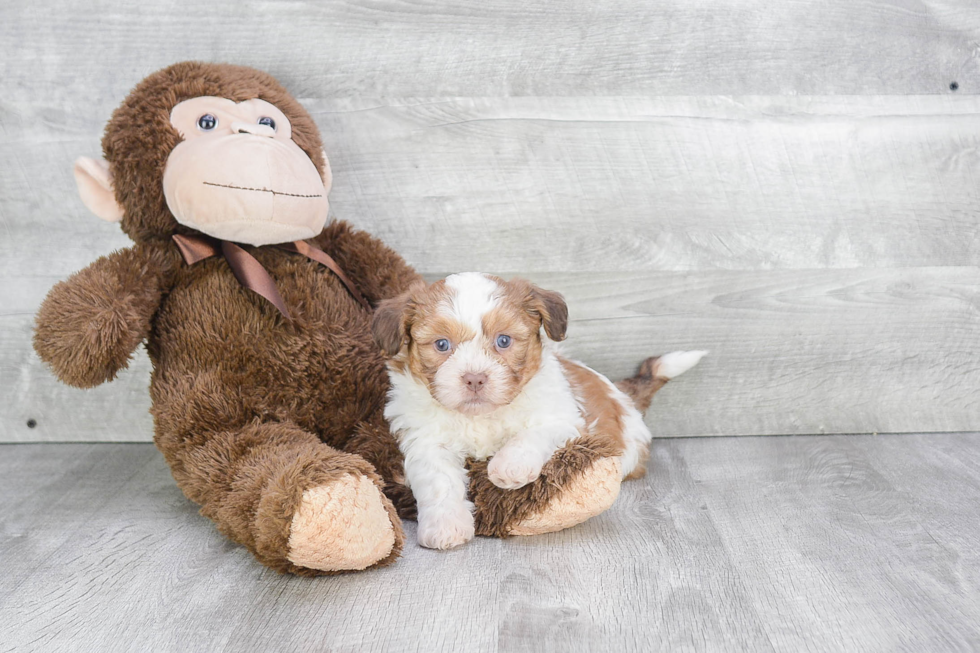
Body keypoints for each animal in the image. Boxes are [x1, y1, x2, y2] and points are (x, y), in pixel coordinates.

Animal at [374, 272, 704, 552]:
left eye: (503, 340)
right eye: (442, 344)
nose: (475, 378)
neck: (481, 416)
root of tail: (625, 395)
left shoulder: (563, 419)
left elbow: (531, 435)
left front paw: (509, 467)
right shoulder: (427, 439)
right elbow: (438, 481)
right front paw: (446, 527)